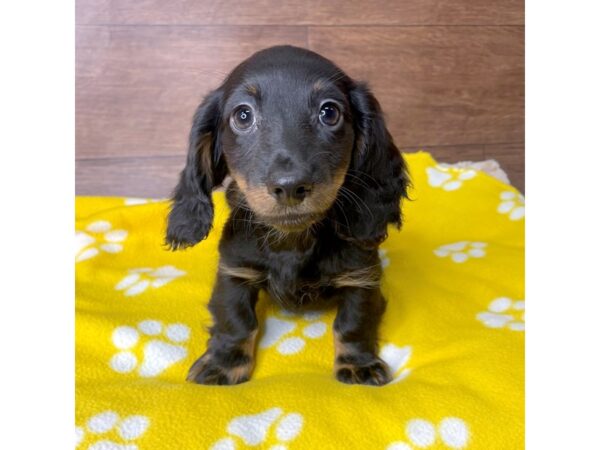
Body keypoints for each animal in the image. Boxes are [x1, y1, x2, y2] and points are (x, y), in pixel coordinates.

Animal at [166, 45, 410, 384]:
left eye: (329, 112)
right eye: (243, 115)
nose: (291, 186)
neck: (292, 241)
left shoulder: (362, 277)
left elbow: (352, 323)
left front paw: (358, 364)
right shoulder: (234, 271)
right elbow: (236, 319)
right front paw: (224, 363)